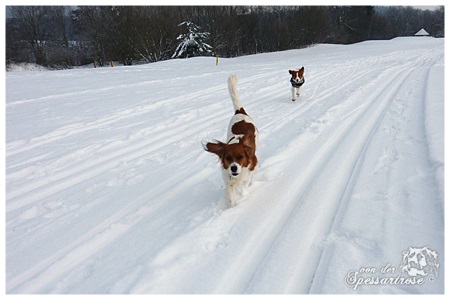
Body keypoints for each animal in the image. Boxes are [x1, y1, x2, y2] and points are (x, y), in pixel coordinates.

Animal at [203, 74, 258, 207]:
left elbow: (244, 185)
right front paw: (232, 206)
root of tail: (239, 111)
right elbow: (230, 193)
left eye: (240, 157)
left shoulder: (250, 167)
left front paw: (244, 193)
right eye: (227, 158)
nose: (233, 168)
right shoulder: (227, 180)